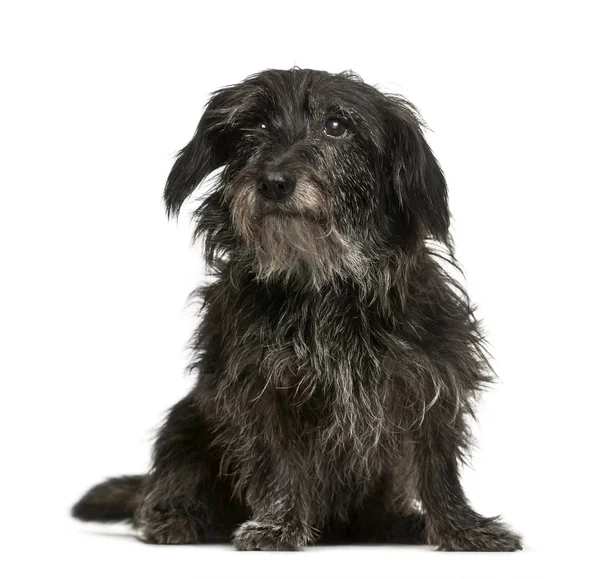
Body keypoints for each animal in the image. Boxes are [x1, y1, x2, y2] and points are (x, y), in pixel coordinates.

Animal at [71, 68, 520, 552]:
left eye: (337, 127)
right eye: (256, 126)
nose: (273, 182)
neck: (323, 285)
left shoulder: (430, 382)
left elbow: (438, 468)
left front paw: (462, 529)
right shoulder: (259, 388)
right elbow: (276, 462)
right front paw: (278, 525)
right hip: (185, 424)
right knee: (166, 481)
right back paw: (176, 516)